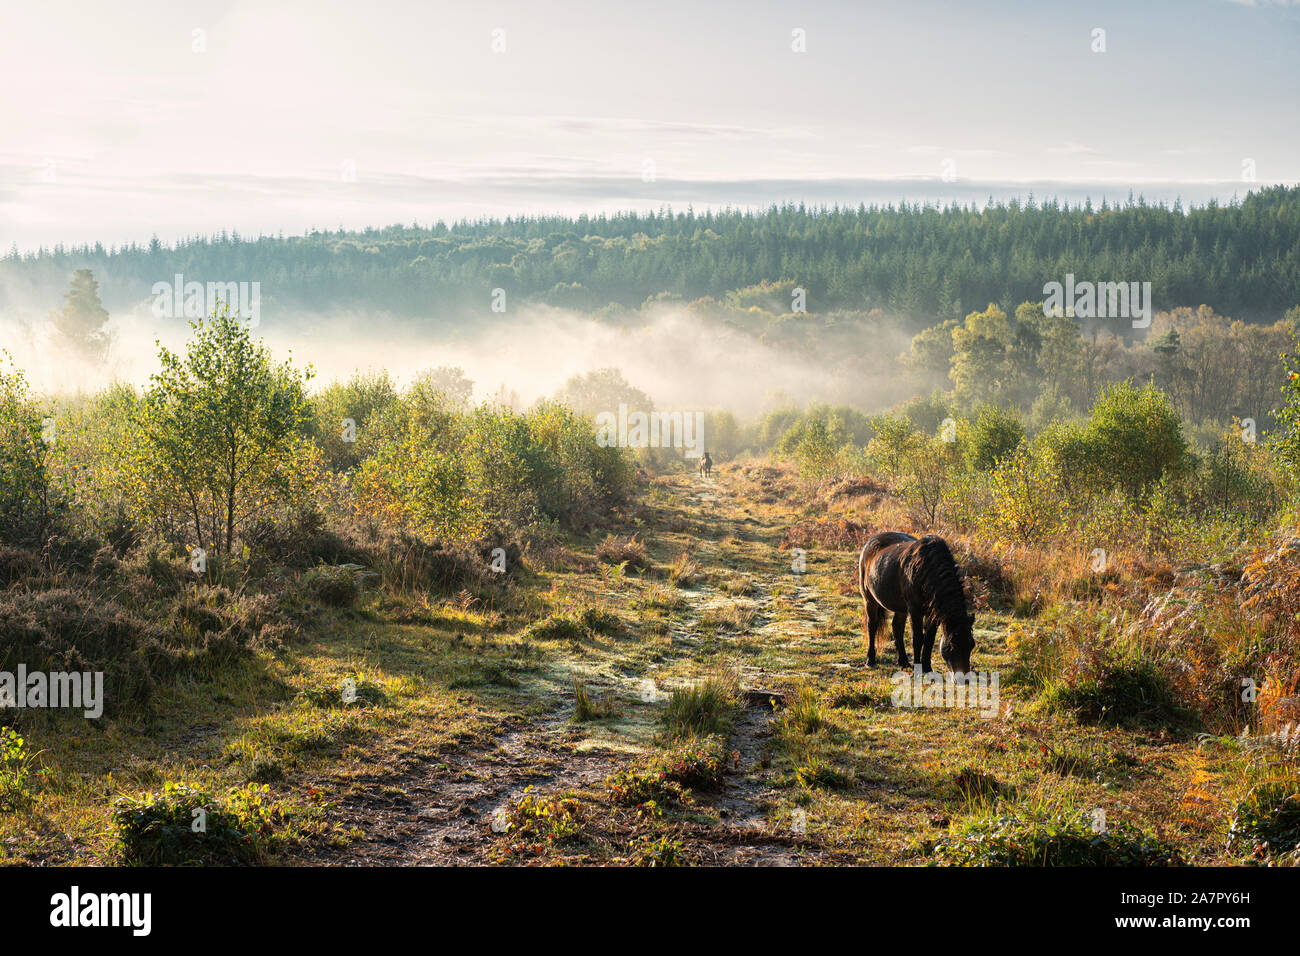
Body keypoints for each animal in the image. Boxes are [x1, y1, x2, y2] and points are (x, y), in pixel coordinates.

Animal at [852, 530, 977, 671]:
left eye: (971, 645)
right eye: (951, 647)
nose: (963, 676)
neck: (927, 569)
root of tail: (871, 542)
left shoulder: (932, 613)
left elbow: (929, 639)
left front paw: (927, 668)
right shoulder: (915, 610)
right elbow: (917, 639)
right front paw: (918, 668)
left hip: (900, 607)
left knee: (897, 628)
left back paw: (903, 662)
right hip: (870, 600)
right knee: (872, 625)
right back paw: (871, 660)